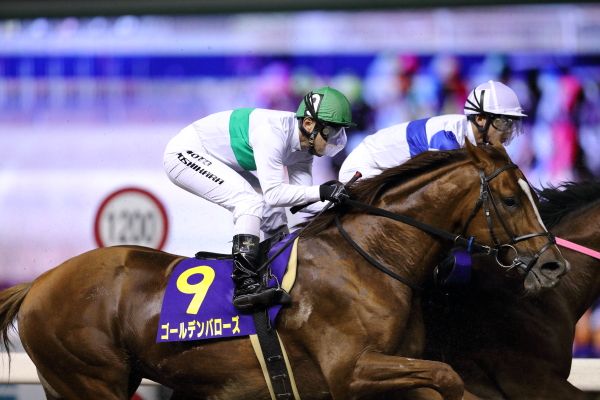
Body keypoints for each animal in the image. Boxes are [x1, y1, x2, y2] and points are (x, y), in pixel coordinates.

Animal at [0, 141, 567, 400]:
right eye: (512, 198)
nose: (553, 263)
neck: (369, 260)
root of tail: (37, 284)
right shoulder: (351, 372)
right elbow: (448, 377)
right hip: (91, 380)